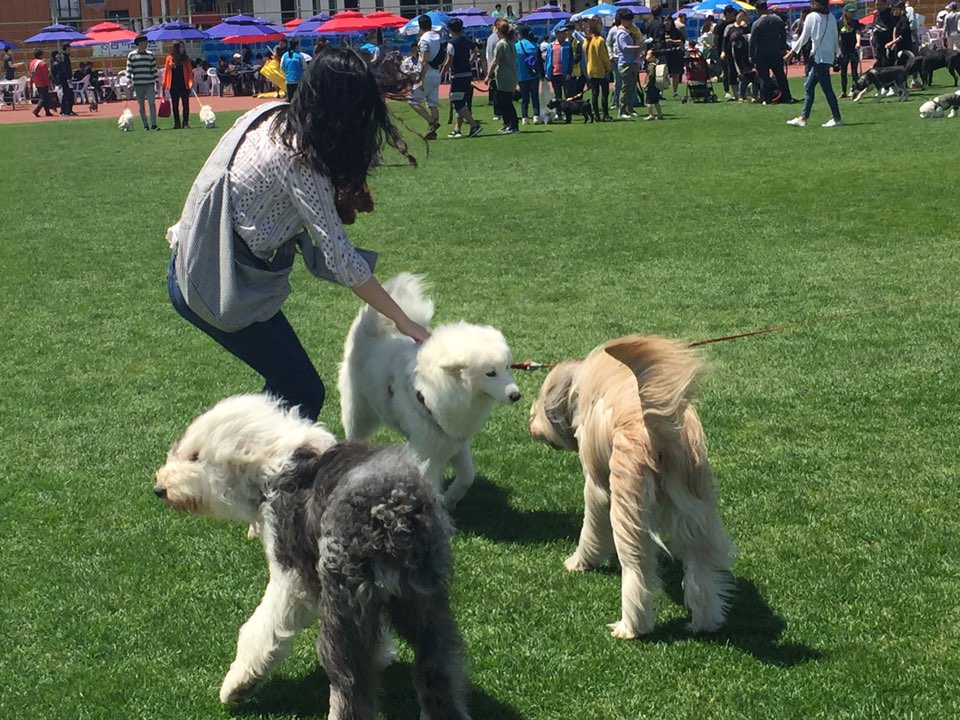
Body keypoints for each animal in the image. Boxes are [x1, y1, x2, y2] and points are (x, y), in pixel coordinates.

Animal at [154, 394, 472, 720]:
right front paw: (383, 654)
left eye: (195, 456)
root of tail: (391, 511)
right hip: (423, 600)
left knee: (349, 681)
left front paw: (237, 685)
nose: (159, 488)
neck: (274, 463)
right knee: (438, 668)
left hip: (345, 602)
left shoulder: (293, 575)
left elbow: (261, 627)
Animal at [336, 274, 516, 506]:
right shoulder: (429, 450)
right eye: (490, 373)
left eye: (508, 367)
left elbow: (467, 476)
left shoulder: (454, 440)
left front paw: (451, 499)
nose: (516, 395)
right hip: (357, 413)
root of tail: (373, 330)